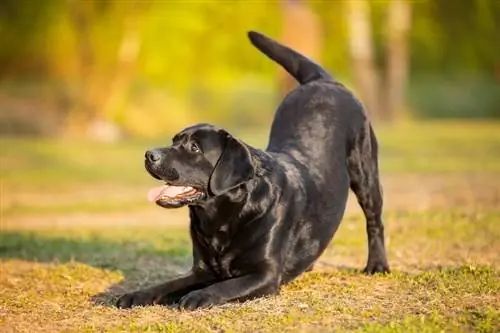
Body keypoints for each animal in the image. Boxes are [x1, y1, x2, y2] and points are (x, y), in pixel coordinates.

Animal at [117, 30, 390, 308]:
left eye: (194, 148)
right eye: (174, 141)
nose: (149, 155)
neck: (221, 218)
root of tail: (323, 80)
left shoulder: (265, 274)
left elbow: (224, 286)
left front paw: (198, 296)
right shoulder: (201, 271)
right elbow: (168, 284)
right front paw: (136, 294)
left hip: (365, 171)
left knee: (374, 221)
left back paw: (377, 265)